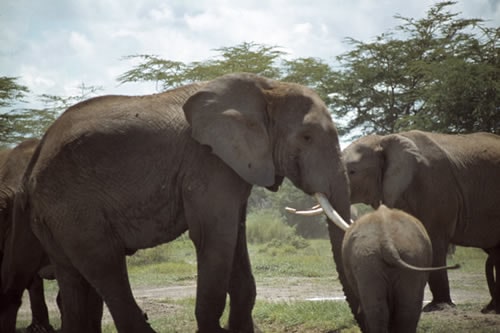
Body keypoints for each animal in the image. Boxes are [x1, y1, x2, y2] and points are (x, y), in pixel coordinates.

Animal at [342, 129, 500, 312]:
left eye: (352, 172)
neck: (384, 139)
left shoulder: (435, 187)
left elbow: (434, 240)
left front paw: (438, 307)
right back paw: (492, 308)